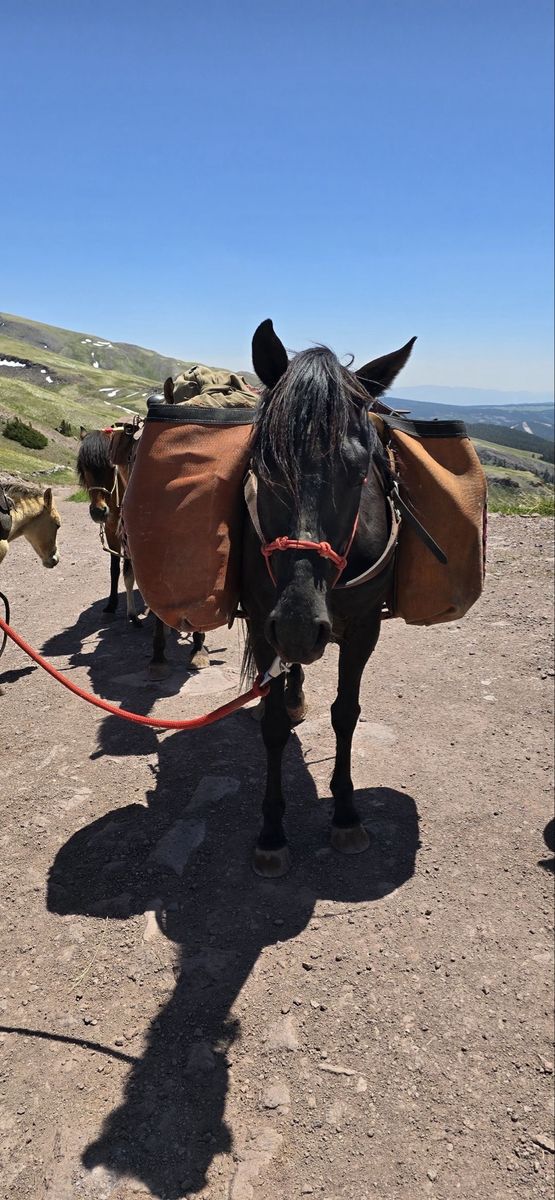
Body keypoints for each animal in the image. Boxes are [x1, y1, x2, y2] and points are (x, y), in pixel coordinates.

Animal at [76, 429, 208, 675]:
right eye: (83, 468)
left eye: (110, 466)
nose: (98, 512)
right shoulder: (115, 530)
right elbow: (117, 571)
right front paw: (115, 608)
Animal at [241, 319, 416, 876]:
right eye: (264, 462)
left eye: (361, 471)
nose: (300, 625)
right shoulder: (264, 622)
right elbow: (274, 725)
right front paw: (271, 833)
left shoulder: (363, 630)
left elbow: (346, 713)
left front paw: (345, 813)